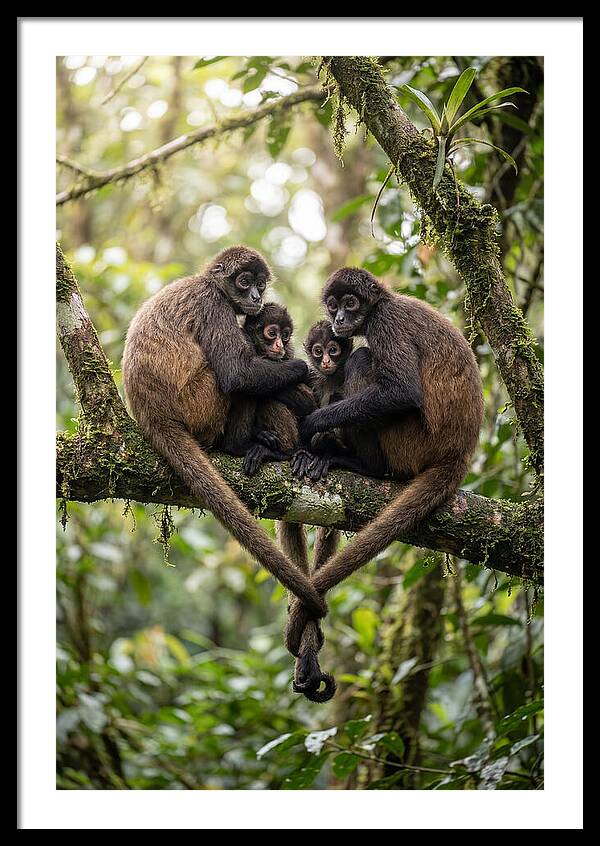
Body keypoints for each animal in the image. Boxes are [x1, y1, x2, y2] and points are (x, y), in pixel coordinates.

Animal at [121, 246, 327, 622]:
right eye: (244, 281)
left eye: (260, 284)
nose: (256, 296)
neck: (208, 283)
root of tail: (152, 414)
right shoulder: (213, 305)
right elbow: (236, 374)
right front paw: (301, 369)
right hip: (201, 403)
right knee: (237, 378)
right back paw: (240, 445)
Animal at [285, 267, 484, 659]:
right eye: (333, 306)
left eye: (350, 303)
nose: (340, 319)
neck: (383, 303)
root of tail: (460, 452)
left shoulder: (385, 322)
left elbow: (401, 391)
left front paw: (313, 426)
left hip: (411, 441)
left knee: (363, 359)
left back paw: (362, 465)